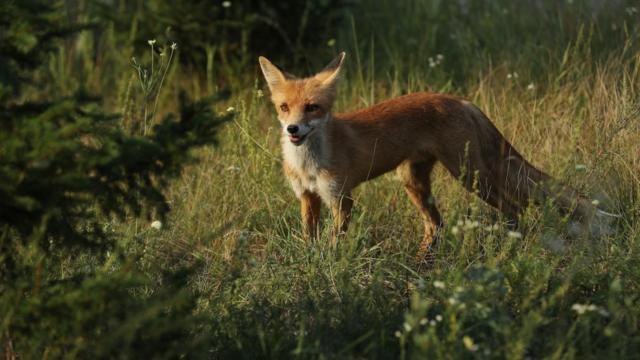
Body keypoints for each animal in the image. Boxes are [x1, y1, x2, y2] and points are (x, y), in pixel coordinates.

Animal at [258, 52, 616, 256]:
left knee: (514, 208)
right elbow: (309, 238)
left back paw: (508, 248)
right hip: (414, 182)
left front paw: (329, 266)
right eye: (284, 107)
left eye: (312, 108)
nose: (293, 130)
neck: (308, 166)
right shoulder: (308, 197)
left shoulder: (340, 198)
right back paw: (422, 264)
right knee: (436, 225)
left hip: (471, 176)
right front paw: (310, 264)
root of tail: (460, 100)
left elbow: (333, 242)